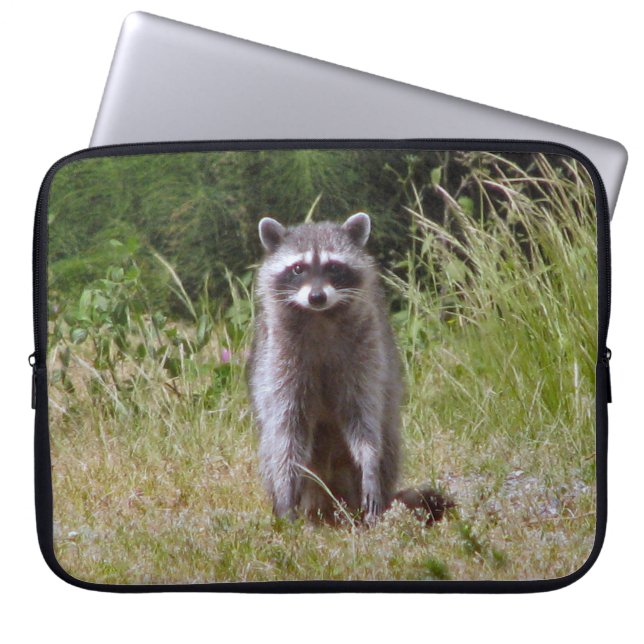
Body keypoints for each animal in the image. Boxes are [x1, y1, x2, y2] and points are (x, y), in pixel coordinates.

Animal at [248, 213, 452, 524]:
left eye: (333, 267)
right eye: (298, 268)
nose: (317, 297)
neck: (320, 317)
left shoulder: (366, 351)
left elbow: (364, 417)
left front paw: (368, 462)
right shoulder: (280, 360)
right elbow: (286, 430)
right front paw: (284, 491)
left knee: (388, 442)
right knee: (271, 445)